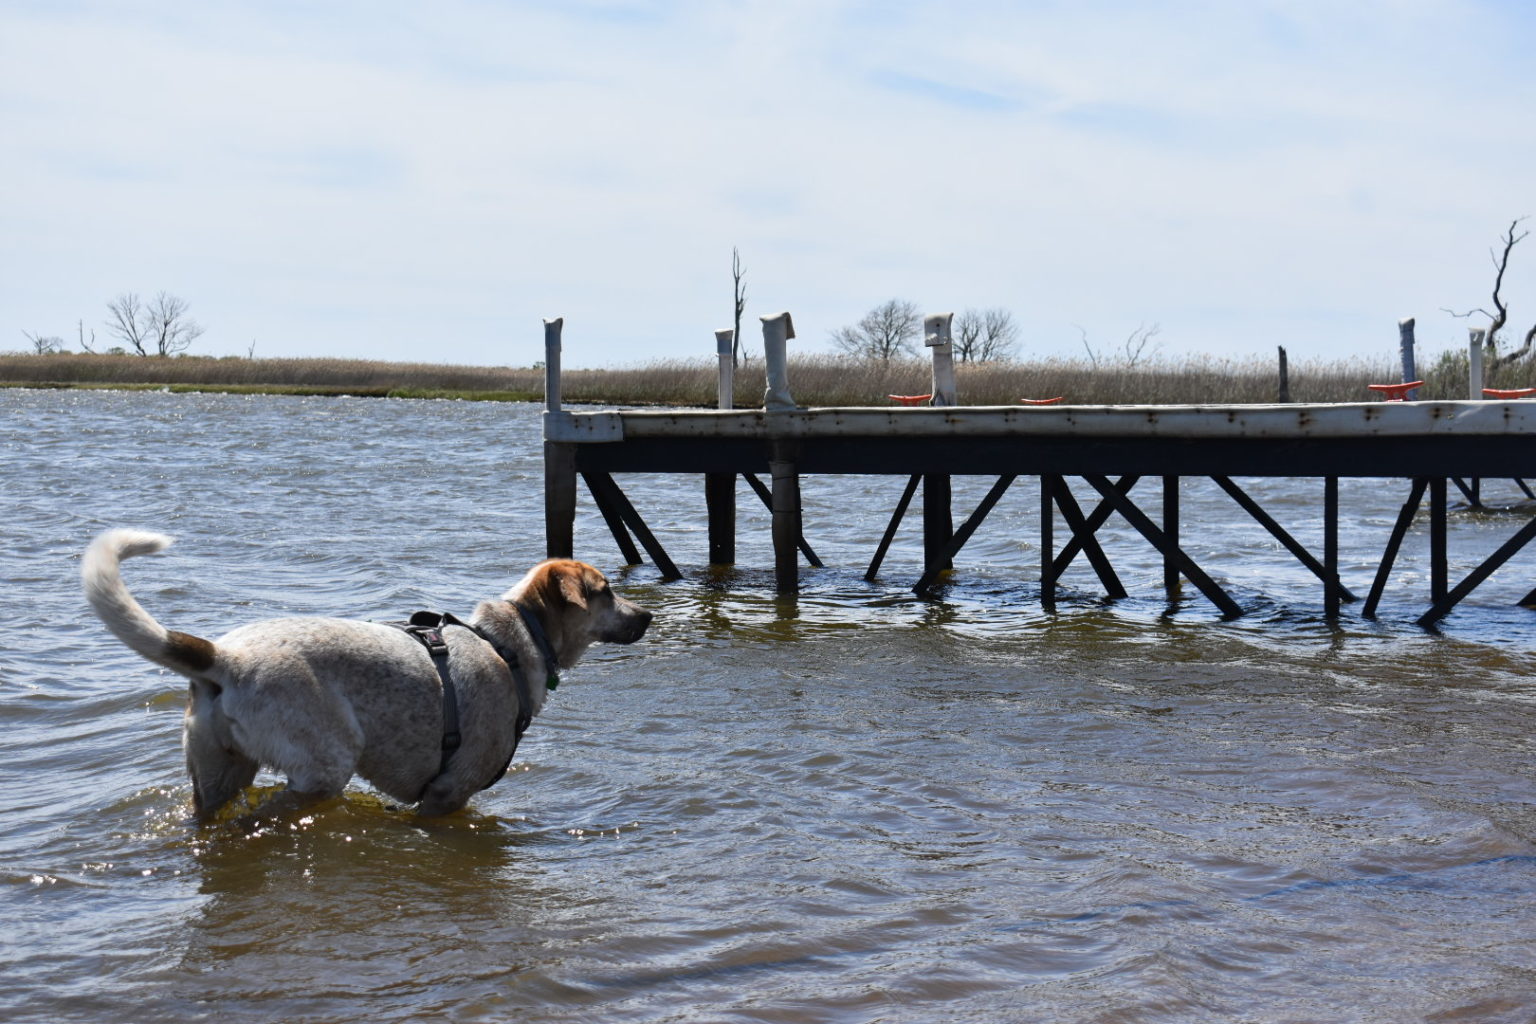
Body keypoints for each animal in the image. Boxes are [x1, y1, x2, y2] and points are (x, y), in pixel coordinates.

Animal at [81, 528, 651, 822]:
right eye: (604, 591)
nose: (646, 615)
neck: (511, 643)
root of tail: (225, 658)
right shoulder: (447, 794)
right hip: (325, 766)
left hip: (216, 773)